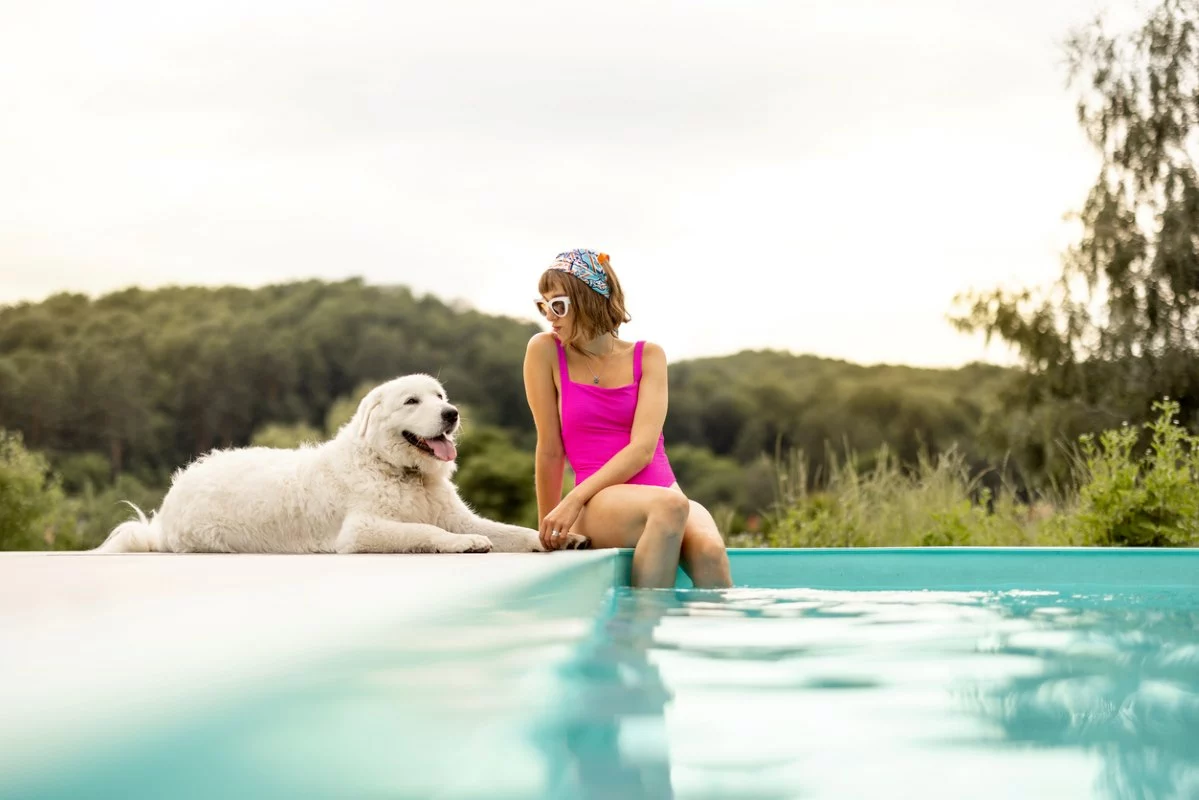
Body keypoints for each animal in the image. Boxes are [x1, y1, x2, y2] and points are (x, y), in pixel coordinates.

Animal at [95, 376, 587, 556]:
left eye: (440, 396)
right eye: (412, 401)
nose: (451, 414)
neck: (397, 470)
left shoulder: (457, 513)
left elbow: (515, 531)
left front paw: (562, 537)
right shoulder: (362, 531)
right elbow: (426, 530)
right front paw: (462, 544)